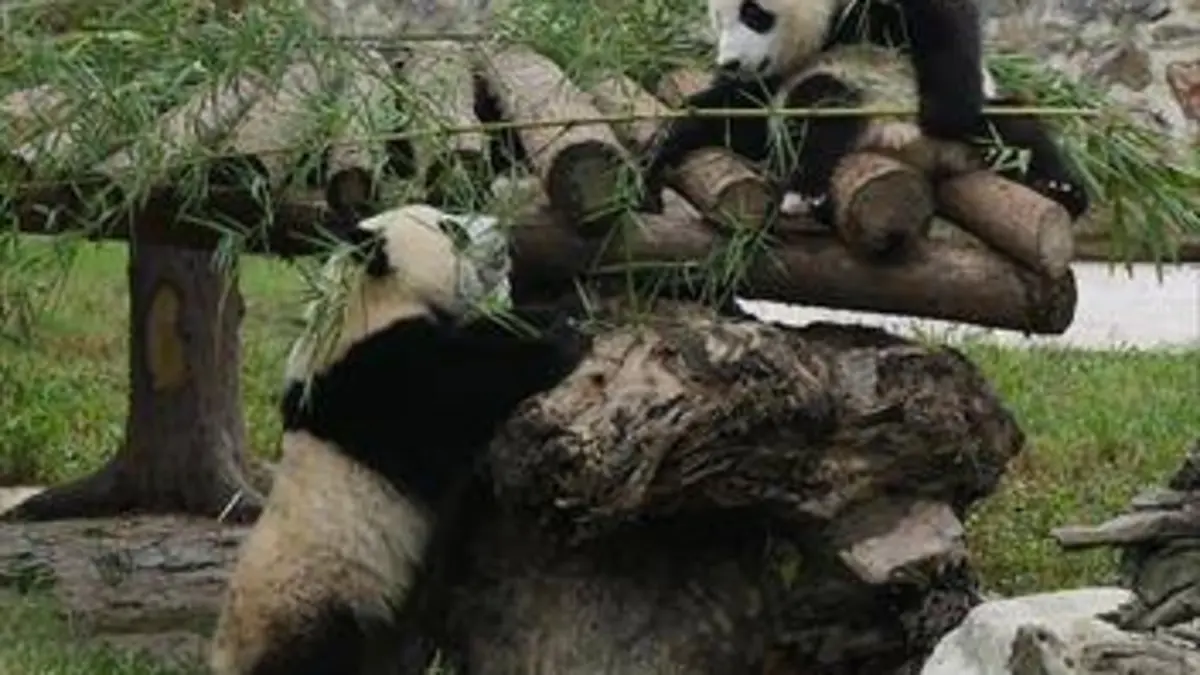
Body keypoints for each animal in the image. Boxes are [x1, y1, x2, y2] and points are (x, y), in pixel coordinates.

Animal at [209, 203, 590, 675]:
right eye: (451, 228)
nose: (502, 231)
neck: (366, 299)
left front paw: (559, 309)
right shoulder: (378, 378)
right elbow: (462, 391)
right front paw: (563, 335)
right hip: (312, 606)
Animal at [637, 0, 1089, 222]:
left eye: (753, 13)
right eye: (718, 20)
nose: (729, 63)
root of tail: (914, 150)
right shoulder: (775, 78)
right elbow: (742, 112)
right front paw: (660, 152)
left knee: (1012, 125)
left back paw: (1062, 188)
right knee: (817, 102)